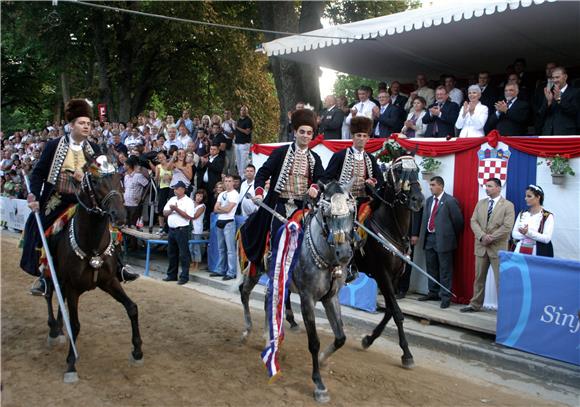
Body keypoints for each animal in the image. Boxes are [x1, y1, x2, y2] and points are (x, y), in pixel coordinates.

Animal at [43, 158, 143, 384]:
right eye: (95, 181)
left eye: (119, 177)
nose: (119, 216)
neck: (93, 246)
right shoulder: (72, 288)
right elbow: (75, 324)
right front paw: (71, 364)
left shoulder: (109, 282)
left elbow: (132, 308)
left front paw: (137, 351)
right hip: (52, 273)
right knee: (49, 294)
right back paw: (53, 329)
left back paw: (59, 329)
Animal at [238, 182, 356, 404]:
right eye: (327, 214)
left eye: (352, 212)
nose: (344, 254)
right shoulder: (307, 299)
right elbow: (314, 342)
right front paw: (319, 385)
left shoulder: (331, 298)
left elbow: (341, 337)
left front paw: (322, 360)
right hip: (256, 268)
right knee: (244, 293)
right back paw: (248, 331)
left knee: (268, 300)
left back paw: (268, 338)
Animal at [352, 156, 424, 370]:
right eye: (399, 172)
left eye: (417, 171)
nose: (417, 200)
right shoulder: (382, 274)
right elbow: (397, 313)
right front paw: (407, 354)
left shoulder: (393, 277)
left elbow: (390, 311)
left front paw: (368, 339)